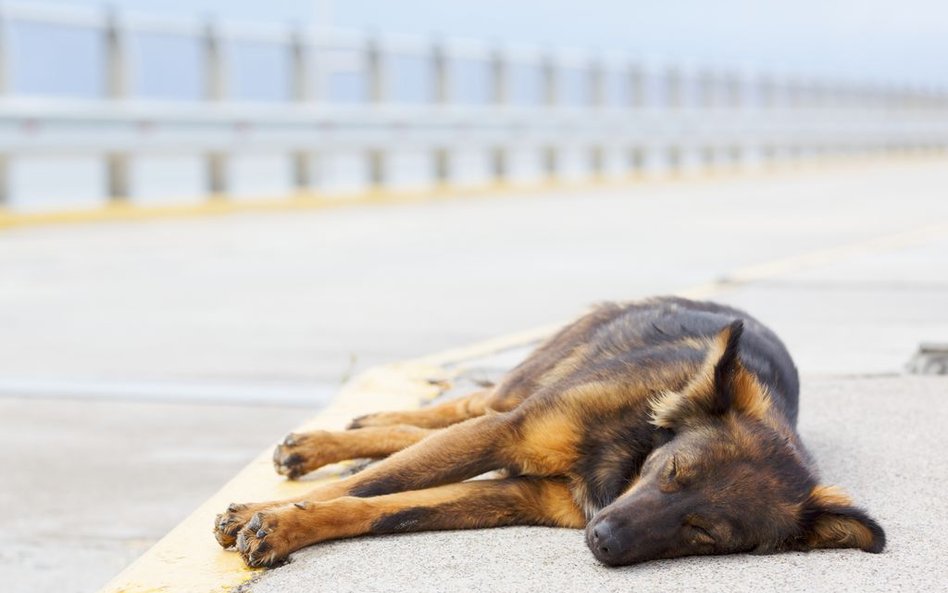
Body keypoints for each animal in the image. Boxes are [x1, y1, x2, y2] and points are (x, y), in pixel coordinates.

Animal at [211, 298, 884, 568]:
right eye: (671, 473)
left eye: (706, 535)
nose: (603, 540)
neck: (630, 454)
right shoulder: (508, 434)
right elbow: (377, 484)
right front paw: (260, 514)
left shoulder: (516, 494)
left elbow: (383, 509)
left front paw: (286, 525)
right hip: (522, 387)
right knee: (465, 405)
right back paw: (335, 440)